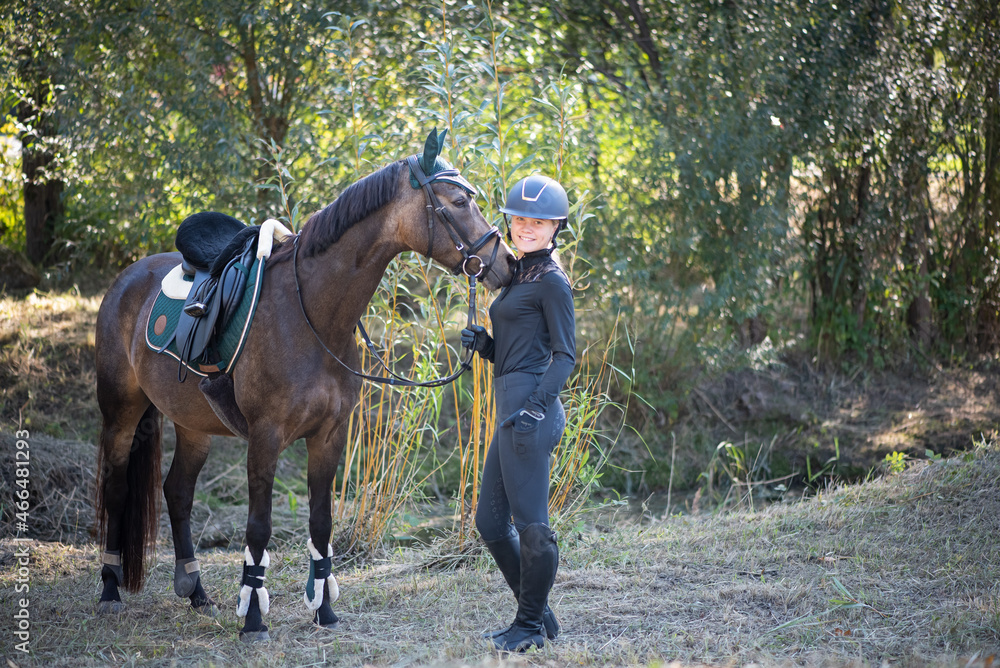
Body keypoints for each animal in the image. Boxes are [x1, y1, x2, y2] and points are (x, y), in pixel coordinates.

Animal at [92, 130, 516, 640]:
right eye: (458, 201)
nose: (507, 263)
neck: (311, 313)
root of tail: (129, 276)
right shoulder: (266, 437)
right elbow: (258, 528)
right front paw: (254, 618)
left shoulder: (330, 435)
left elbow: (321, 522)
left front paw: (324, 609)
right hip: (120, 412)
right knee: (116, 489)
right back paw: (110, 590)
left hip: (193, 423)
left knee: (177, 492)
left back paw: (196, 592)